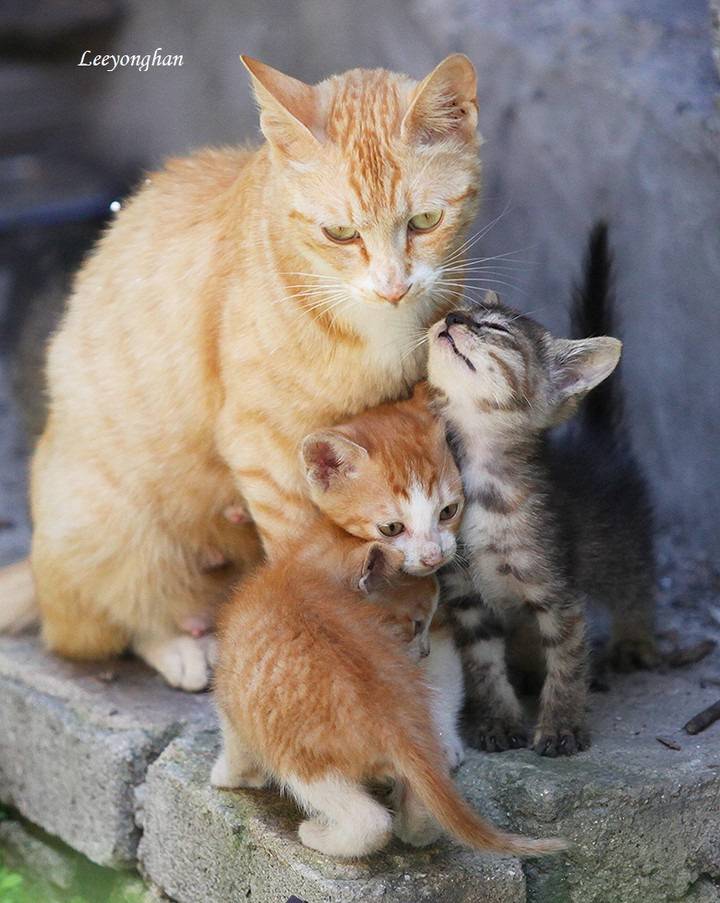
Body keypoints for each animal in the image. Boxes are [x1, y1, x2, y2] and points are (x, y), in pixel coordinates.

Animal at [2, 53, 484, 688]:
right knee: (115, 620)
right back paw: (183, 647)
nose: (393, 286)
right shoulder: (263, 446)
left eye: (426, 220)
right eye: (340, 233)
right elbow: (303, 550)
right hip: (104, 527)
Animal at [210, 520, 564, 860]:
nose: (424, 653)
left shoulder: (233, 694)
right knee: (422, 809)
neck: (296, 575)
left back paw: (317, 835)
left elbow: (236, 746)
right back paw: (415, 829)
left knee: (371, 822)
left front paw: (226, 777)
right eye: (416, 625)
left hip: (302, 757)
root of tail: (397, 720)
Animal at [428, 226, 660, 756]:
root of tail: (595, 438)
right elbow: (483, 666)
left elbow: (568, 664)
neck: (482, 485)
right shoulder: (467, 596)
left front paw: (561, 726)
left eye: (495, 329)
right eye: (464, 311)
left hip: (623, 546)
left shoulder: (557, 591)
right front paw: (497, 721)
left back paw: (636, 639)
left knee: (638, 587)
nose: (451, 317)